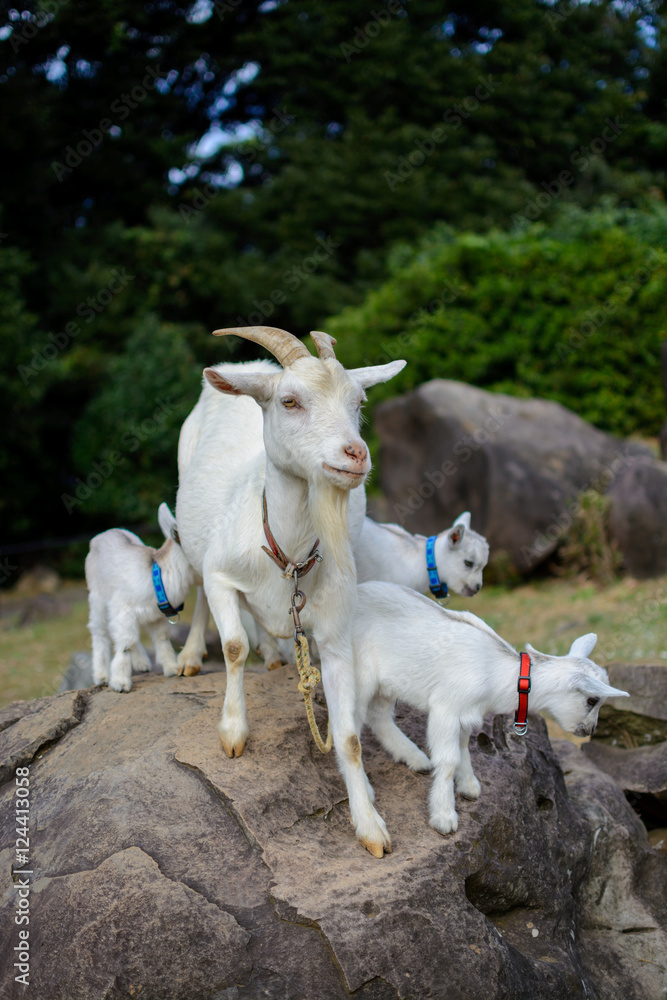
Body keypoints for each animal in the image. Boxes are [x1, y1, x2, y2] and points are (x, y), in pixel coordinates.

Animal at [175, 324, 404, 856]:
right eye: (290, 401)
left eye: (359, 400)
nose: (355, 453)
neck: (288, 556)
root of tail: (245, 371)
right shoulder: (220, 573)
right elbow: (232, 645)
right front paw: (232, 732)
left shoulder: (337, 634)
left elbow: (349, 738)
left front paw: (369, 824)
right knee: (198, 596)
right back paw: (192, 655)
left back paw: (278, 653)